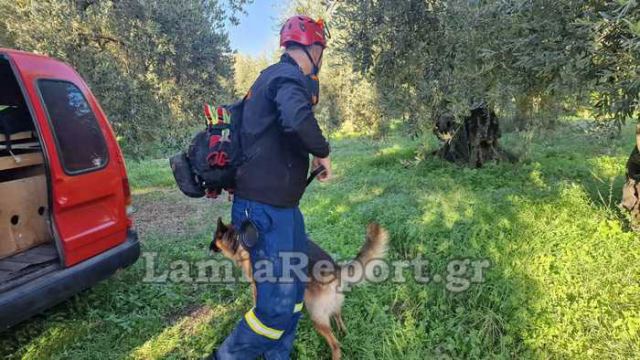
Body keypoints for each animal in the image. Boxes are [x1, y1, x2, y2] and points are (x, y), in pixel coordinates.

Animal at [212, 218, 388, 358]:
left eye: (214, 238)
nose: (209, 247)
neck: (237, 239)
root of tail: (335, 268)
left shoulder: (258, 284)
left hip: (317, 317)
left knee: (336, 345)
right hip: (331, 306)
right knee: (339, 317)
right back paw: (344, 333)